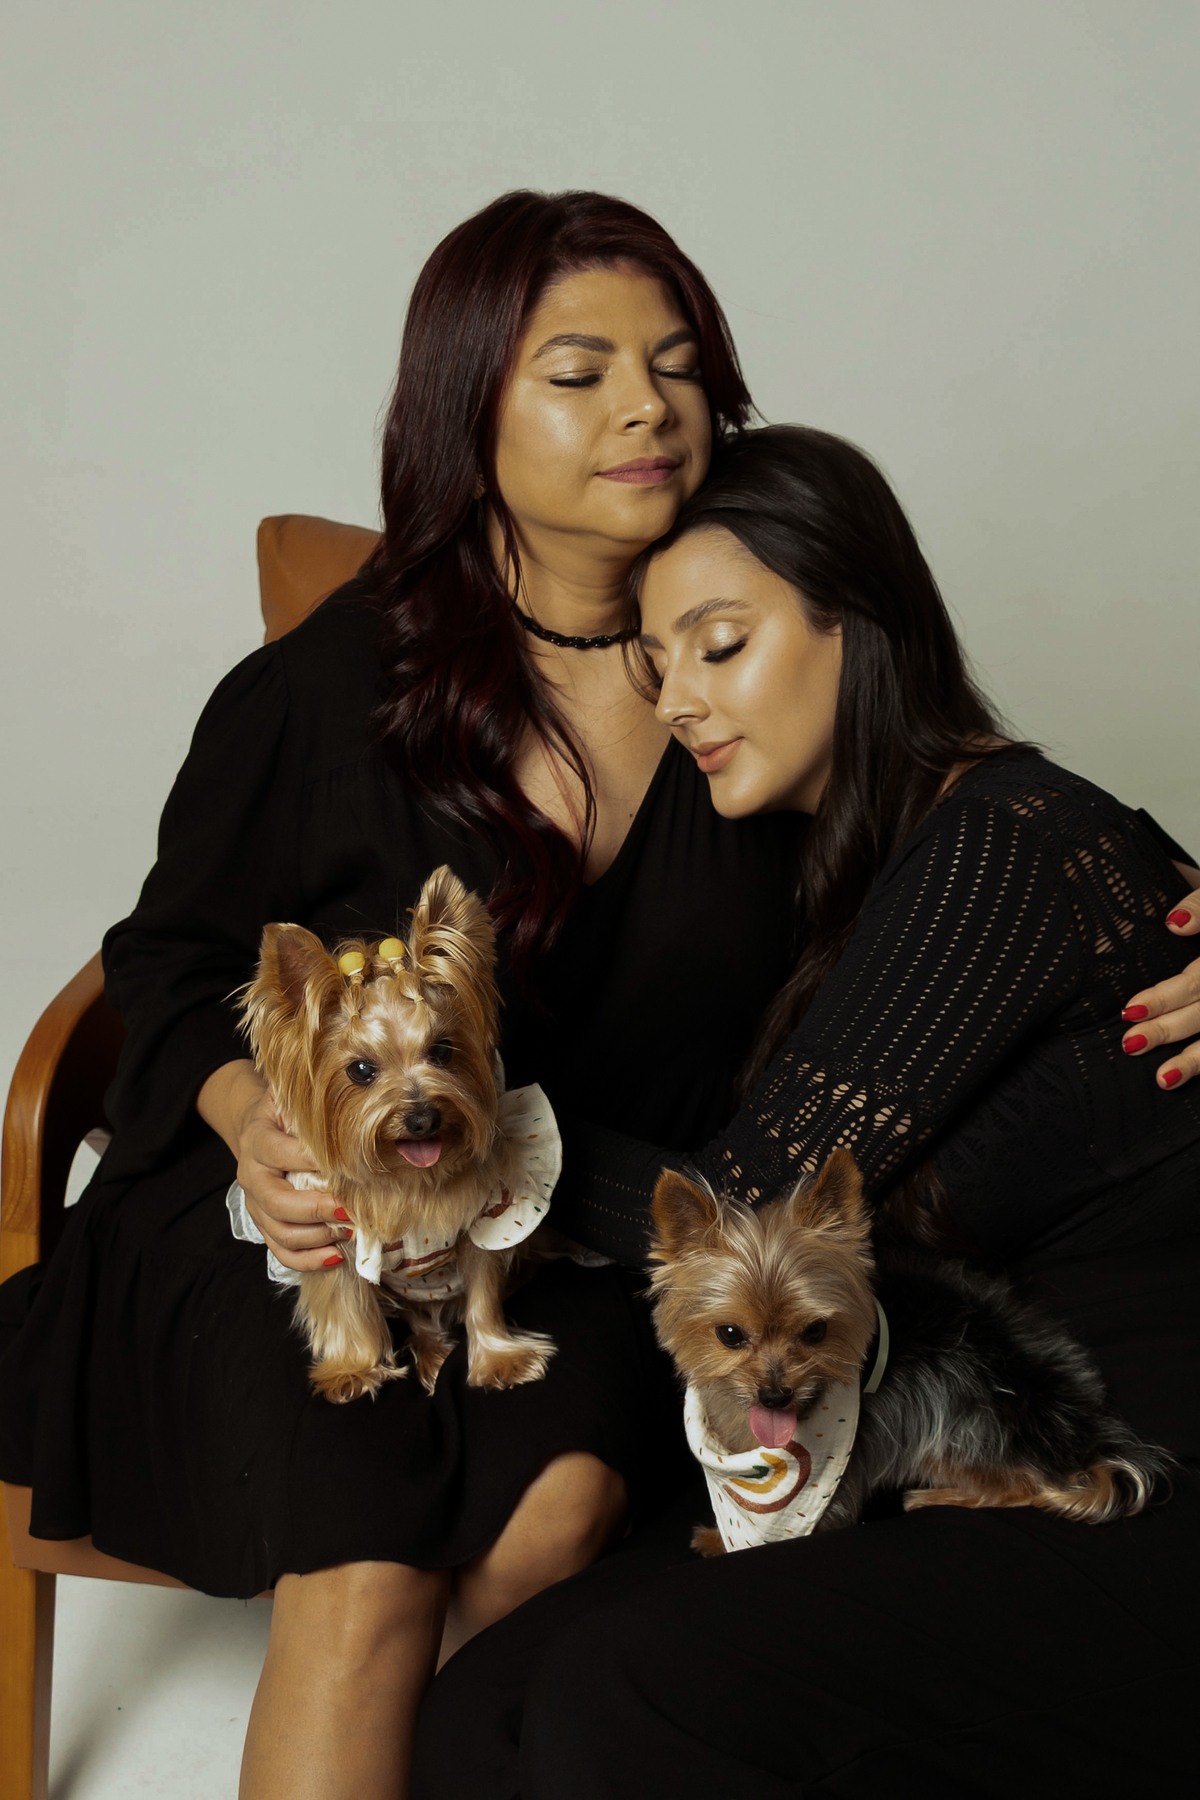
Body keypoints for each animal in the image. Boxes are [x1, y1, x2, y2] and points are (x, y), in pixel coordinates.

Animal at [237, 865, 559, 1403]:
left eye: (443, 1050)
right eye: (361, 1071)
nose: (423, 1119)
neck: (406, 1178)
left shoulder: (485, 1221)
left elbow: (483, 1291)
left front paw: (498, 1358)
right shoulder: (330, 1239)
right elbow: (344, 1298)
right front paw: (353, 1368)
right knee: (414, 1318)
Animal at [649, 1150, 1170, 1554]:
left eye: (816, 1331)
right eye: (730, 1334)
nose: (775, 1396)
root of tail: (1086, 1433)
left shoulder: (839, 1479)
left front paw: (717, 1543)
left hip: (961, 1417)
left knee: (1029, 1484)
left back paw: (937, 1497)